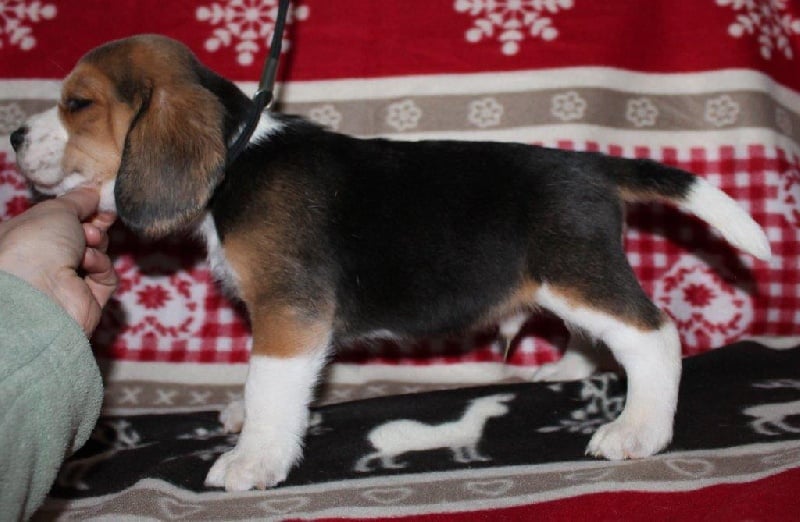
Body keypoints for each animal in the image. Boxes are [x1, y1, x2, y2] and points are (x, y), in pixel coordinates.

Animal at [10, 35, 771, 491]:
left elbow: (271, 385)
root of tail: (590, 166)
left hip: (578, 274)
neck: (237, 158)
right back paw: (564, 378)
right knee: (597, 341)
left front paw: (254, 457)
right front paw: (242, 419)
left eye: (77, 103)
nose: (14, 135)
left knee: (654, 336)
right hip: (566, 284)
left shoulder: (289, 312)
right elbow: (262, 382)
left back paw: (638, 428)